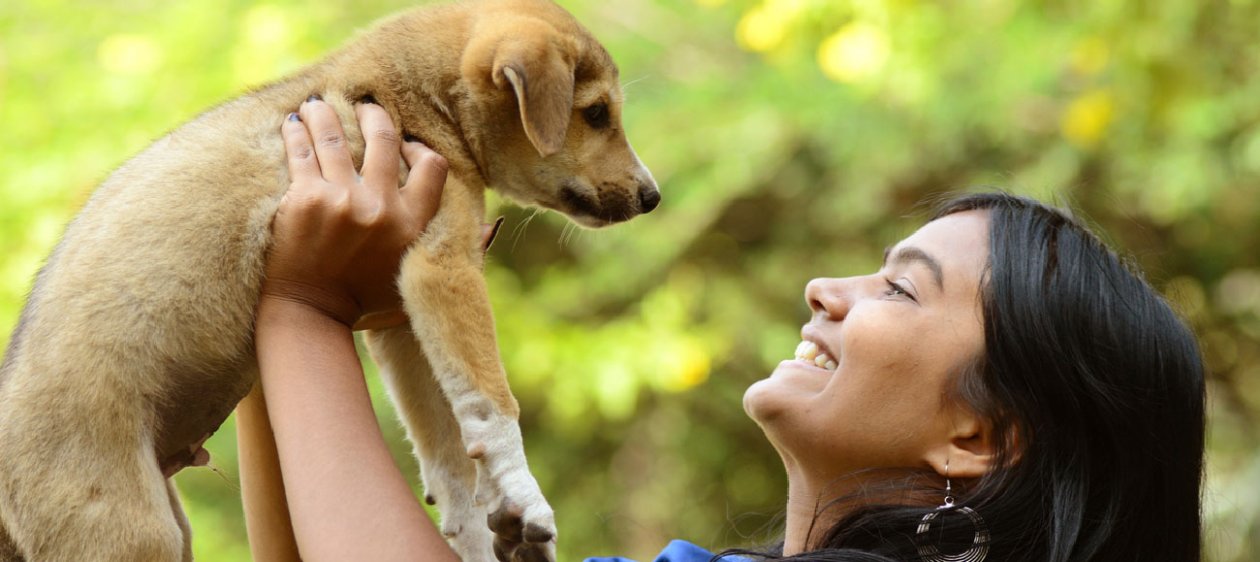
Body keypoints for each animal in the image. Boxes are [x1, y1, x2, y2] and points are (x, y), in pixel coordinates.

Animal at [0, 0, 655, 559]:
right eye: (596, 113)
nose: (652, 197)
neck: (413, 100)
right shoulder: (442, 270)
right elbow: (494, 407)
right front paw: (526, 498)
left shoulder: (399, 316)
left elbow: (448, 451)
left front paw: (478, 533)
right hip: (133, 532)